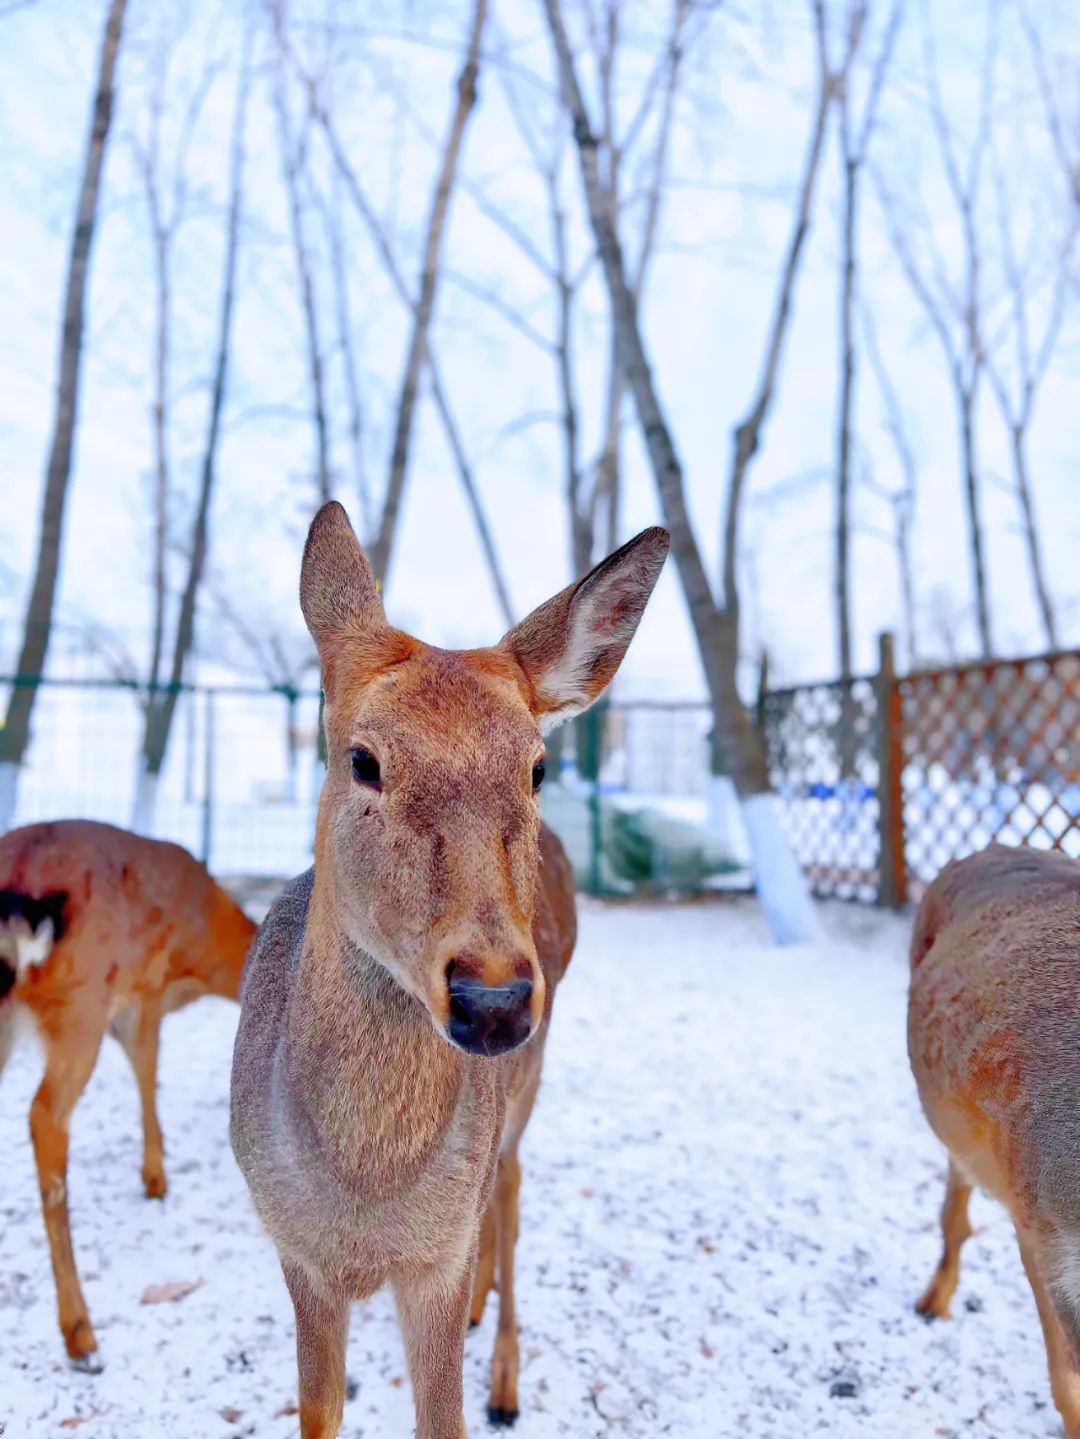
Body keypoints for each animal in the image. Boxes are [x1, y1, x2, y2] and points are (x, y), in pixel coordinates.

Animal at [0, 818, 256, 1372]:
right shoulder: (144, 990)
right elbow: (148, 1068)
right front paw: (156, 1177)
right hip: (79, 1000)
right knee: (45, 1118)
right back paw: (81, 1332)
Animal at [230, 501, 668, 1438]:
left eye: (537, 766)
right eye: (363, 760)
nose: (492, 996)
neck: (365, 1199)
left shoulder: (437, 1252)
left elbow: (446, 1417)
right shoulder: (294, 1248)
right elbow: (318, 1411)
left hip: (524, 1090)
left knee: (511, 1181)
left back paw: (502, 1373)